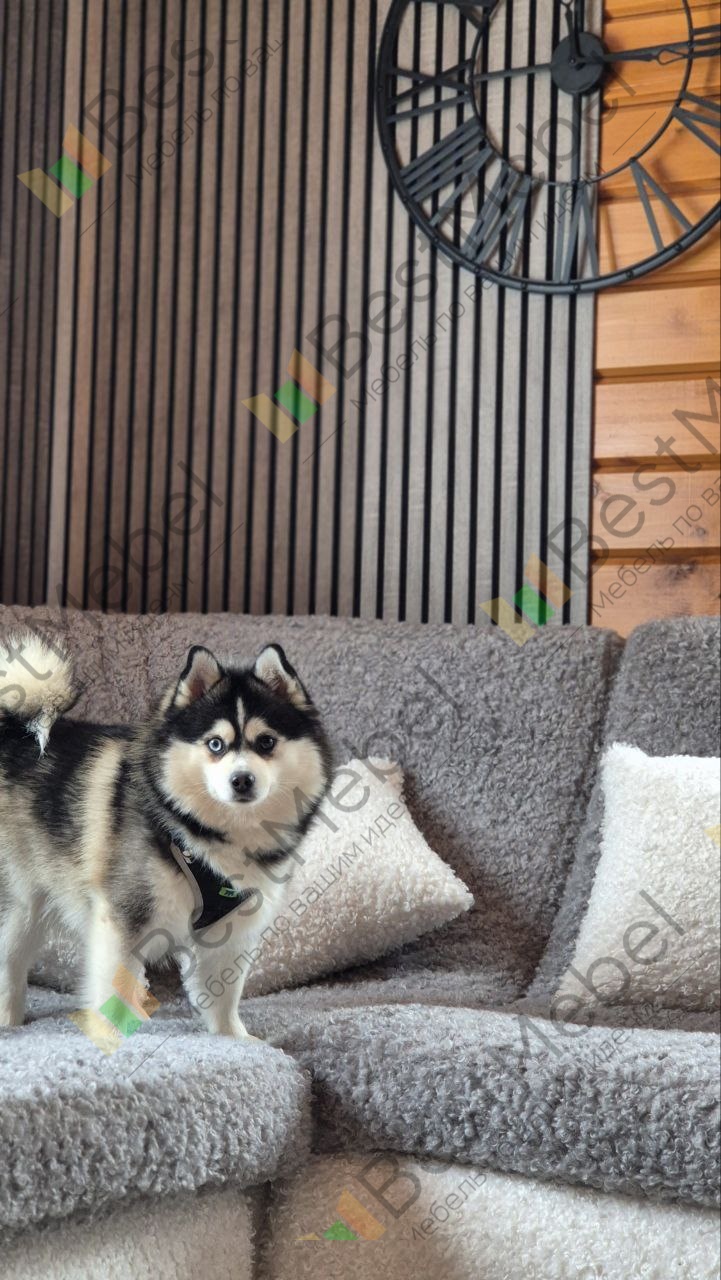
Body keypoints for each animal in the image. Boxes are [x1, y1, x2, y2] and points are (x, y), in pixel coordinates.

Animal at [0, 631, 331, 1039]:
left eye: (266, 742)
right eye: (215, 744)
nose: (242, 780)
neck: (204, 835)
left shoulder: (231, 930)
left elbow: (224, 995)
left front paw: (235, 1040)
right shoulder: (124, 918)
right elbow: (115, 988)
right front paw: (109, 1037)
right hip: (18, 906)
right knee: (11, 962)